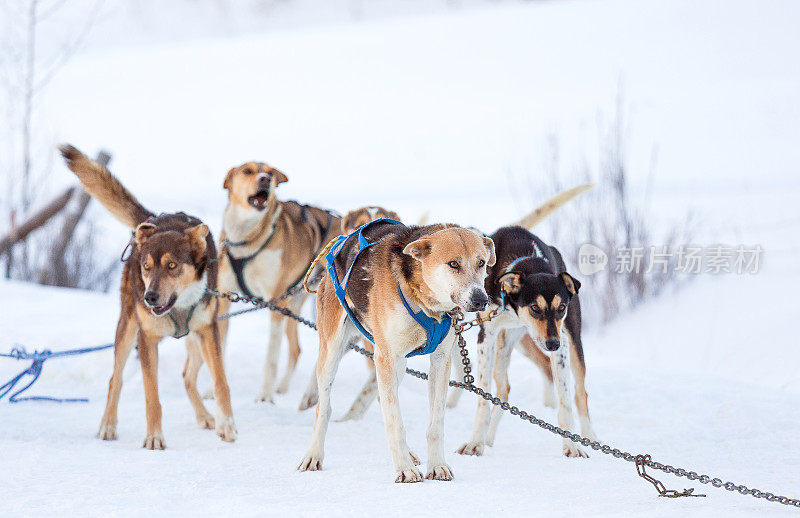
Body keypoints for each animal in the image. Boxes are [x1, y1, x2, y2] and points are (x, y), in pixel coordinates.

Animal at [59, 145, 236, 450]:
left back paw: (205, 417)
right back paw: (108, 425)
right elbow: (152, 396)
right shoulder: (147, 339)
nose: (150, 297)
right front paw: (154, 437)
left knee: (188, 377)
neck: (178, 307)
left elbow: (221, 382)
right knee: (115, 380)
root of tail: (152, 220)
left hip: (196, 341)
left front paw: (227, 425)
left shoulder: (209, 331)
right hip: (127, 328)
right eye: (146, 267)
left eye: (172, 265)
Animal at [217, 161, 342, 402]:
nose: (265, 179)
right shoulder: (225, 299)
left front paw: (265, 397)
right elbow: (220, 347)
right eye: (247, 171)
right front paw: (211, 391)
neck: (248, 239)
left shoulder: (275, 302)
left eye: (269, 172)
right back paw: (283, 387)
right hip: (293, 306)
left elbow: (271, 359)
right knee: (296, 349)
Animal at [296, 222, 496, 484]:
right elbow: (395, 422)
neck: (426, 303)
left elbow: (435, 423)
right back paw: (313, 454)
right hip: (333, 352)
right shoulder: (385, 358)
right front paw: (404, 469)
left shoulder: (440, 360)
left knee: (384, 400)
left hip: (399, 365)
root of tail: (342, 240)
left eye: (481, 262)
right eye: (453, 264)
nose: (481, 299)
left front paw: (437, 465)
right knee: (324, 407)